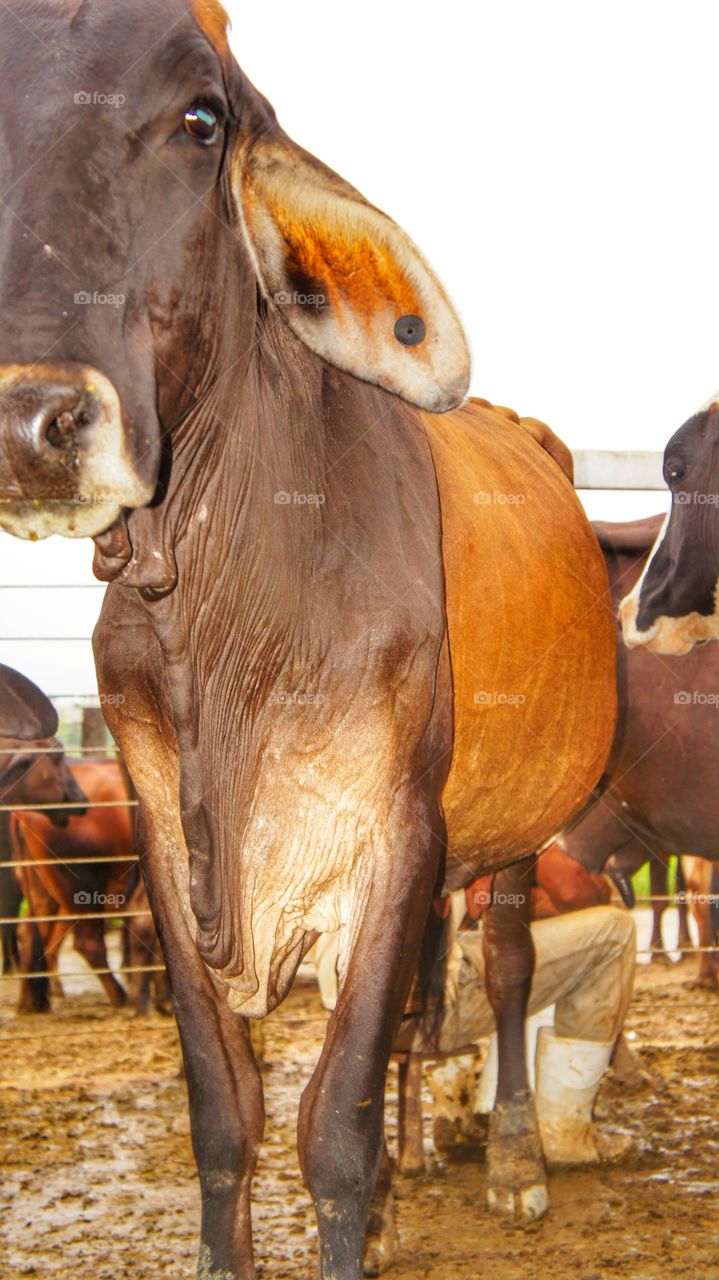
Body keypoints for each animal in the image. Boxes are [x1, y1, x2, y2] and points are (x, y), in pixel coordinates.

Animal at [11, 760, 135, 1009]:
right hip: (79, 890)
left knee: (31, 932)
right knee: (88, 943)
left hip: (45, 892)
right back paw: (120, 997)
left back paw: (30, 1001)